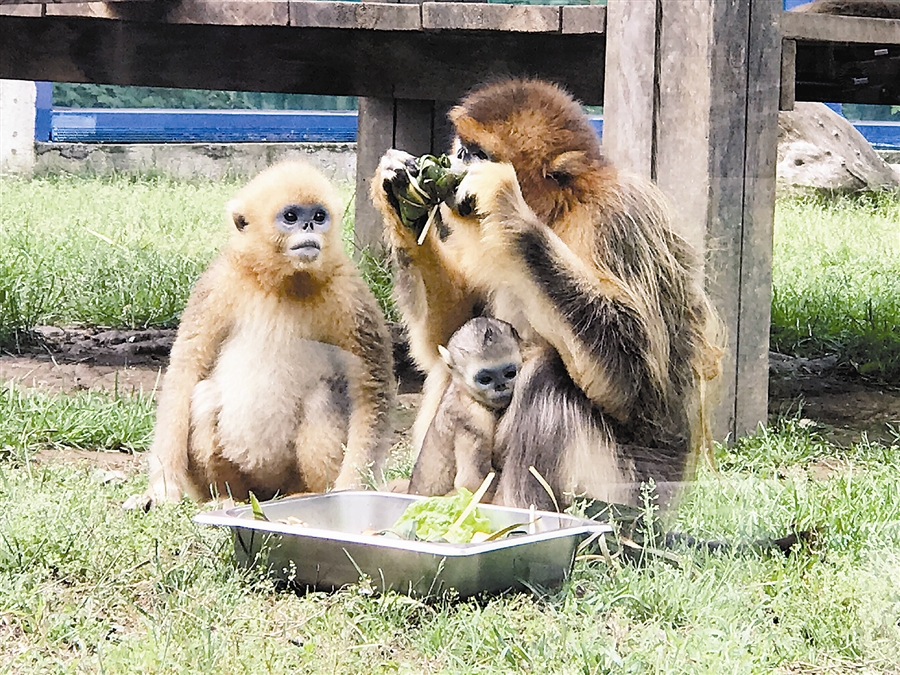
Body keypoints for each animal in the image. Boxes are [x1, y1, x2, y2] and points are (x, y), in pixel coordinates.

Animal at [136, 160, 394, 508]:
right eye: (291, 217)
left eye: (318, 216)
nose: (309, 227)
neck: (284, 282)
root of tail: (269, 493)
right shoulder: (219, 282)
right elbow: (185, 372)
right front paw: (162, 488)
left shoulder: (349, 291)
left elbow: (371, 386)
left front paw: (352, 489)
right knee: (204, 395)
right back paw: (226, 498)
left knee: (322, 397)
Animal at [406, 316, 524, 496]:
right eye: (485, 379)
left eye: (509, 373)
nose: (501, 386)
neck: (466, 393)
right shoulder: (475, 420)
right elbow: (471, 482)